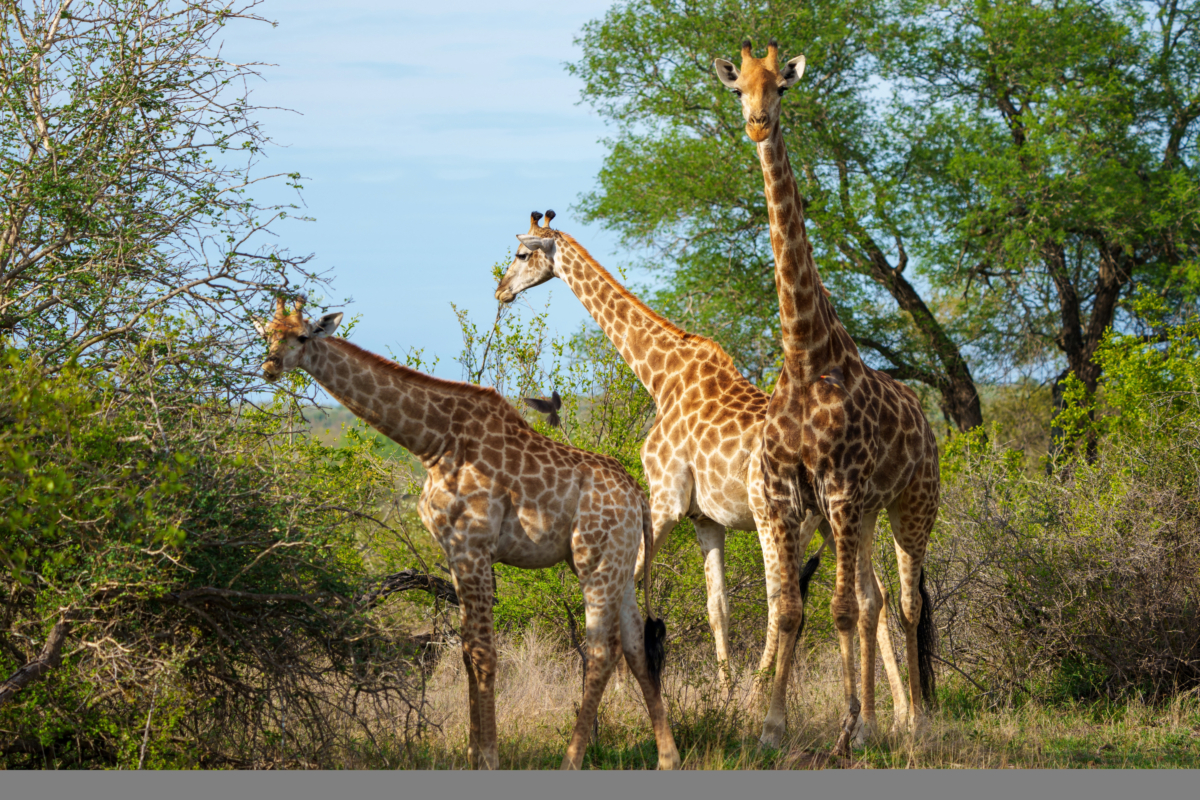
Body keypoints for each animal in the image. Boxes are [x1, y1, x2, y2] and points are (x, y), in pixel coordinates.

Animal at [252, 297, 680, 770]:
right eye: (266, 333)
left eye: (302, 336)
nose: (270, 367)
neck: (432, 443)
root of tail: (637, 495)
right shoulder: (454, 550)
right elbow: (465, 650)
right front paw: (472, 752)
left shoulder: (474, 546)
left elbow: (484, 653)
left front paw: (490, 756)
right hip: (621, 562)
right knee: (637, 646)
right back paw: (667, 757)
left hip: (595, 561)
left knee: (602, 651)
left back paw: (571, 760)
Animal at [495, 211, 908, 706]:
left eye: (521, 254)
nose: (500, 290)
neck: (661, 376)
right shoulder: (704, 517)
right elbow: (718, 606)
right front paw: (722, 690)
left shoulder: (666, 499)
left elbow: (631, 577)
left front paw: (622, 688)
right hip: (834, 520)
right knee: (873, 595)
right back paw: (903, 710)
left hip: (783, 517)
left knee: (782, 597)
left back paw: (762, 694)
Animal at [715, 39, 940, 754]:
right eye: (739, 89)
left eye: (781, 88)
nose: (758, 124)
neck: (805, 355)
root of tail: (927, 419)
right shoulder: (791, 496)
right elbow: (793, 610)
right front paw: (773, 729)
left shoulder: (839, 489)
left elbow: (837, 610)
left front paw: (852, 729)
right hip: (864, 515)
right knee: (873, 601)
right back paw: (880, 719)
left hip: (910, 504)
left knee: (906, 603)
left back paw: (915, 724)